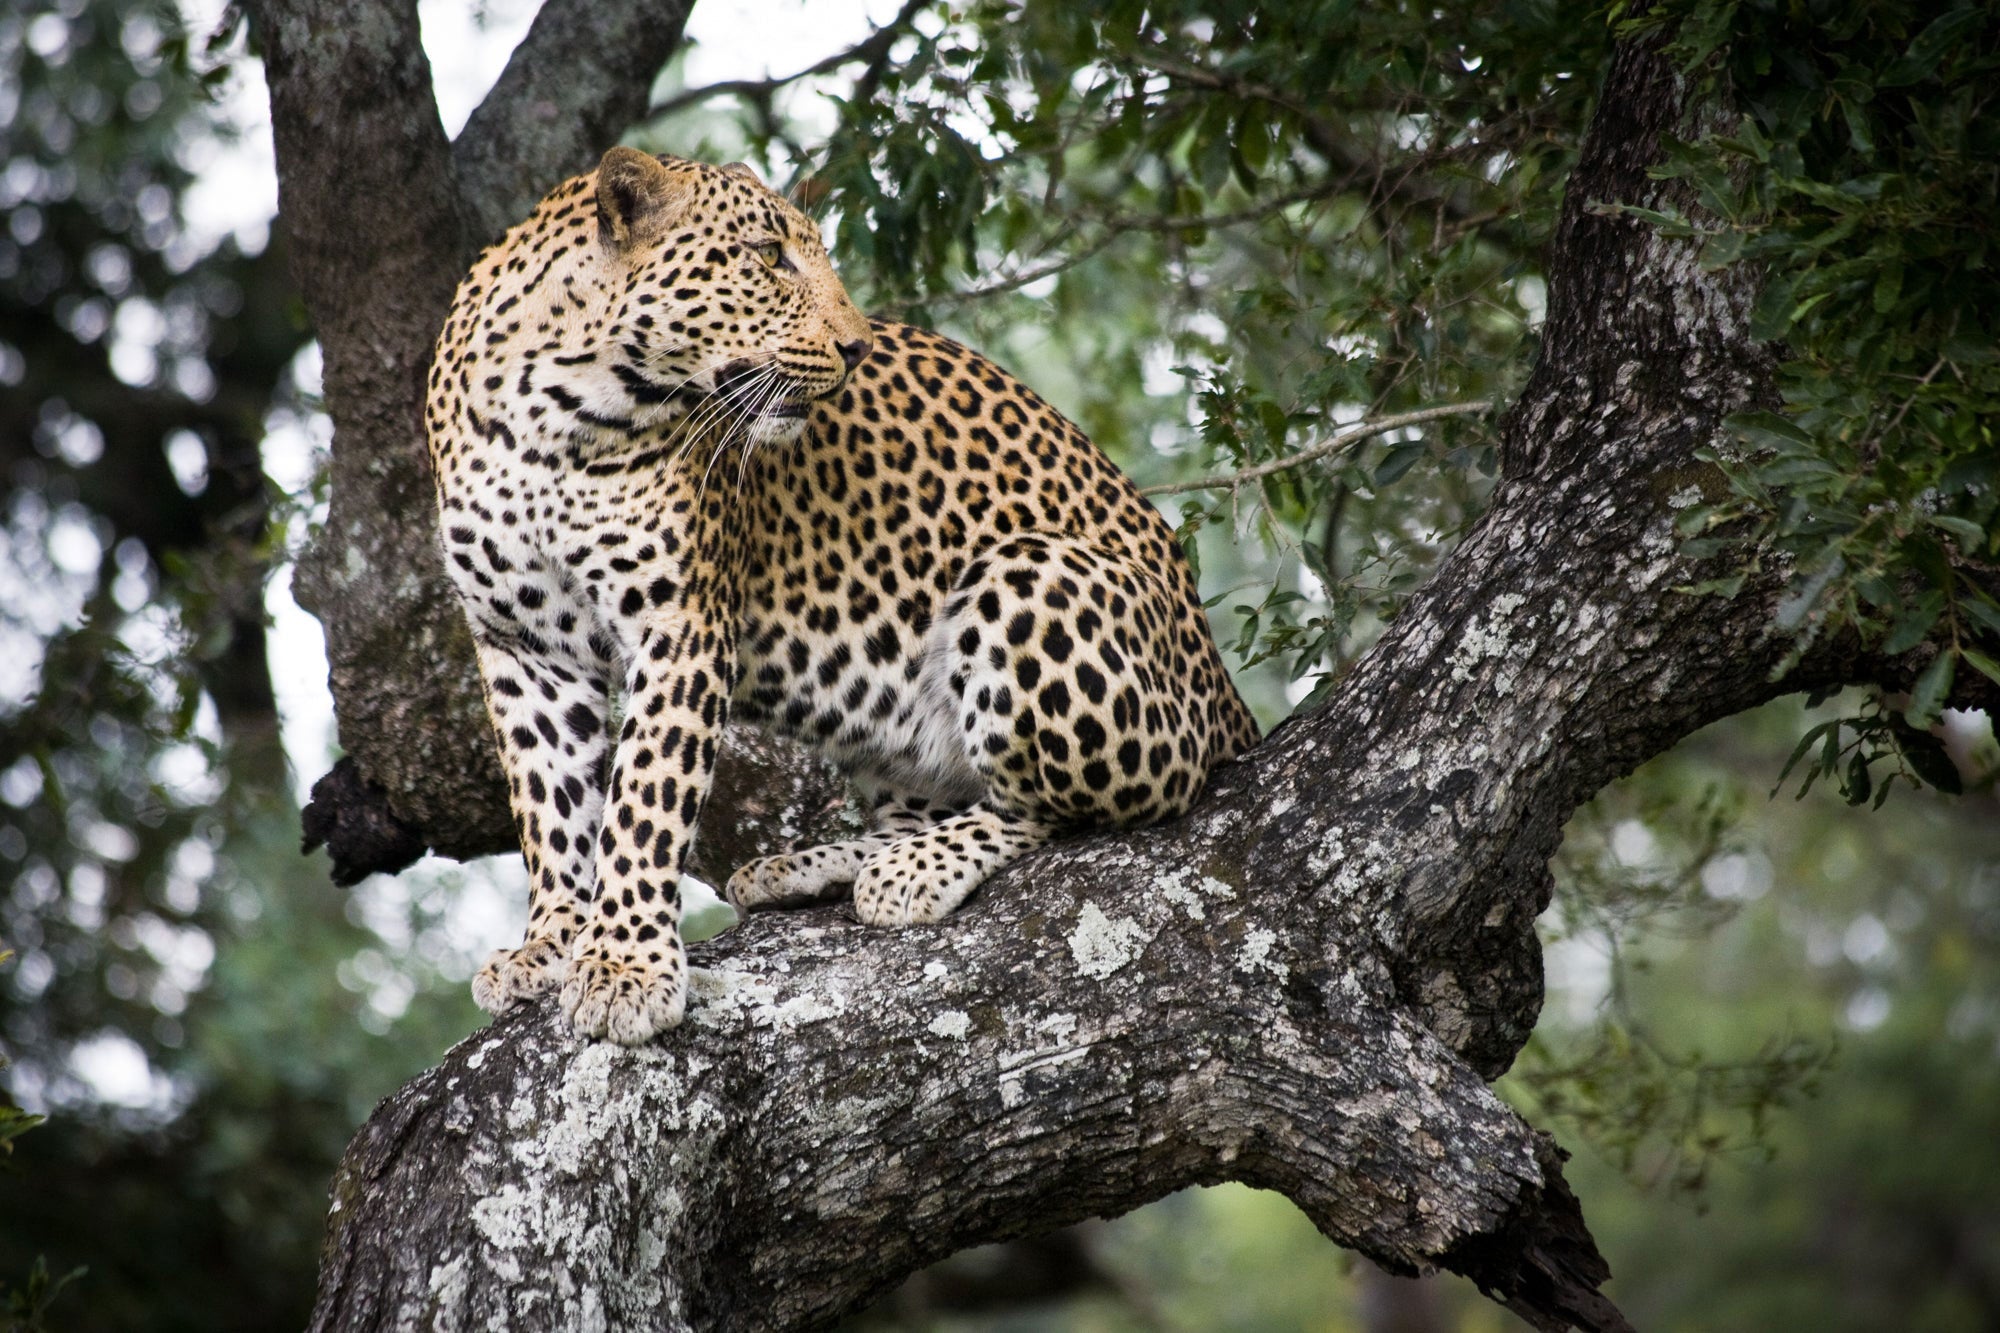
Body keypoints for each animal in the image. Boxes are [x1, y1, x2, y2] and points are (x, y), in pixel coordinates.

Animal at [426, 146, 1260, 1045]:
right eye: (767, 256)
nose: (858, 348)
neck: (556, 415)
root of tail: (1225, 692)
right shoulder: (522, 644)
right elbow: (550, 806)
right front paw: (551, 941)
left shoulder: (680, 621)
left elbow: (647, 797)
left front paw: (625, 963)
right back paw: (811, 865)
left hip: (1026, 576)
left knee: (1081, 802)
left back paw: (912, 869)